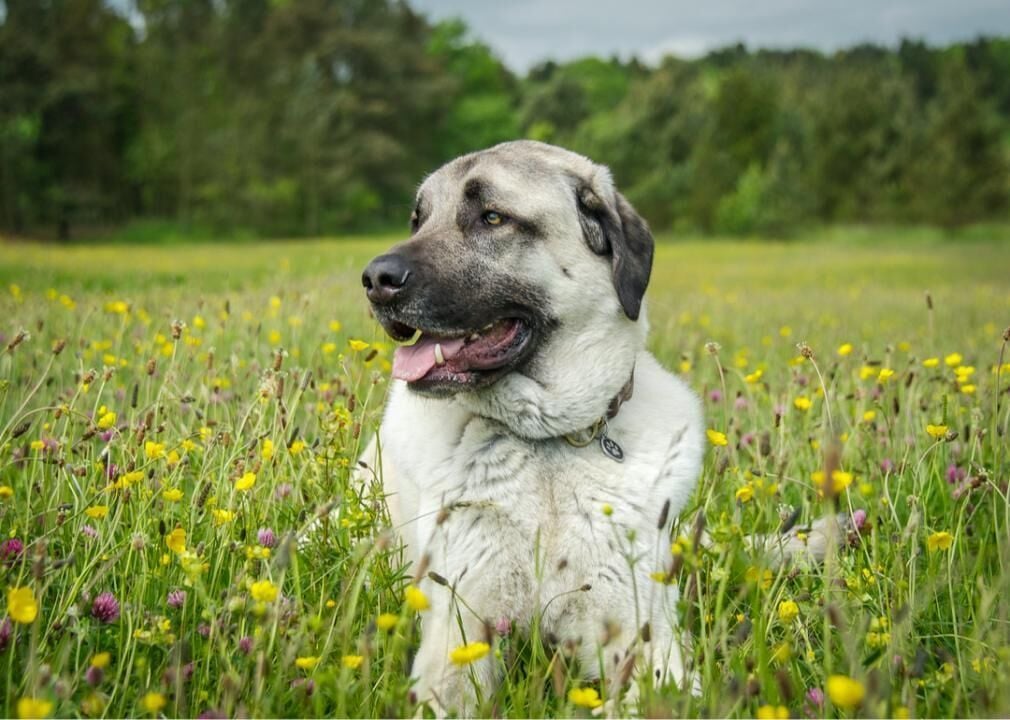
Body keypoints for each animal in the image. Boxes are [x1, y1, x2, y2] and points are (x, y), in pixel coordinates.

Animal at [359, 140, 848, 714]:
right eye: (418, 220)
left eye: (493, 217)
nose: (375, 280)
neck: (545, 444)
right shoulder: (459, 632)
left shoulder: (644, 630)